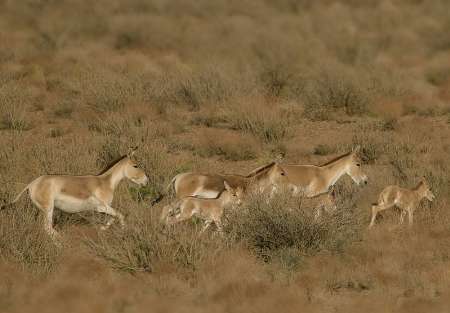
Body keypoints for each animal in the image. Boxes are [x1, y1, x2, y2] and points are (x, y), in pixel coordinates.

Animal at [4, 147, 148, 238]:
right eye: (136, 165)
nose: (146, 181)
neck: (105, 182)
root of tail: (32, 184)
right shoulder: (101, 207)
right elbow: (120, 215)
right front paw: (124, 231)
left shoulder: (104, 208)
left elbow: (113, 217)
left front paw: (102, 229)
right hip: (48, 208)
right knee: (47, 228)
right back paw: (62, 242)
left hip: (44, 210)